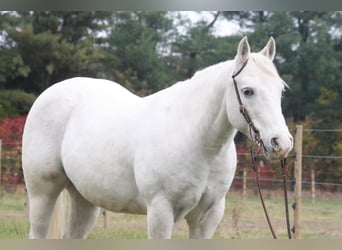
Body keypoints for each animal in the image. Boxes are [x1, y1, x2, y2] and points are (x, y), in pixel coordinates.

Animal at [22, 36, 292, 238]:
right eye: (248, 91)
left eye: (280, 90)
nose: (281, 143)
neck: (198, 143)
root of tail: (51, 93)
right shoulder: (161, 212)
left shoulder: (208, 217)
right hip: (42, 194)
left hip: (85, 199)